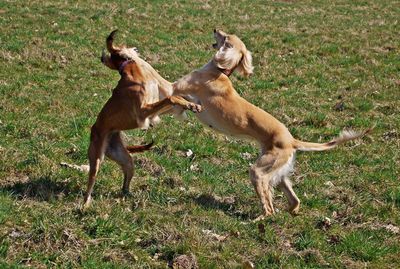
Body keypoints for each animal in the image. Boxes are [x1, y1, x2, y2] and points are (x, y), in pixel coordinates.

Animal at [84, 30, 203, 207]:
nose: (101, 58)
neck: (130, 70)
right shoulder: (143, 112)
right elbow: (172, 98)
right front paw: (190, 105)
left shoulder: (154, 111)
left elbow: (174, 98)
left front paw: (192, 104)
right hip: (97, 157)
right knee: (91, 181)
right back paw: (85, 204)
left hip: (125, 159)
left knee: (125, 181)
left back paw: (128, 195)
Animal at [173, 29, 370, 220]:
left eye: (226, 37)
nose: (215, 29)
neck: (221, 71)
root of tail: (292, 140)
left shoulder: (177, 87)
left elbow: (173, 92)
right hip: (278, 172)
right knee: (294, 200)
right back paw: (291, 212)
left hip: (258, 172)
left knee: (269, 208)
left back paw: (257, 219)